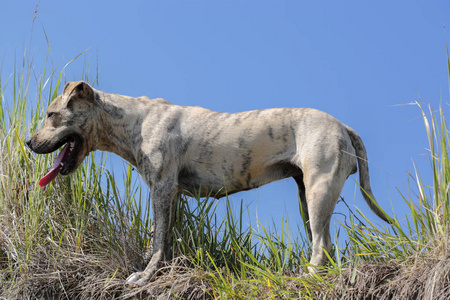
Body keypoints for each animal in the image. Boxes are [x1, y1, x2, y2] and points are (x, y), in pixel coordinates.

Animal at [26, 80, 390, 286]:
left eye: (51, 115)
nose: (29, 142)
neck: (132, 121)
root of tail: (342, 126)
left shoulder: (161, 188)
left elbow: (157, 242)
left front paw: (144, 277)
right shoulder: (171, 194)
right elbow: (165, 240)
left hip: (319, 189)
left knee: (322, 244)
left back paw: (309, 277)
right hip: (307, 195)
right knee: (323, 242)